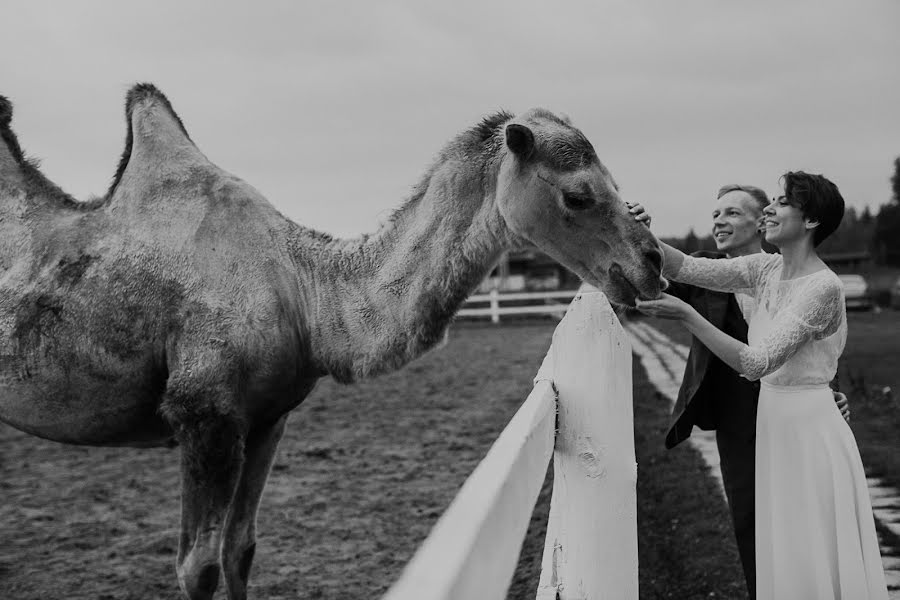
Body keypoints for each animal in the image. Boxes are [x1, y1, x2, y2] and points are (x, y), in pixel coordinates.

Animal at [0, 85, 660, 600]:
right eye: (578, 195)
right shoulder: (203, 415)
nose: (651, 263)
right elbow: (198, 569)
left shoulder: (267, 418)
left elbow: (240, 551)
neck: (303, 289)